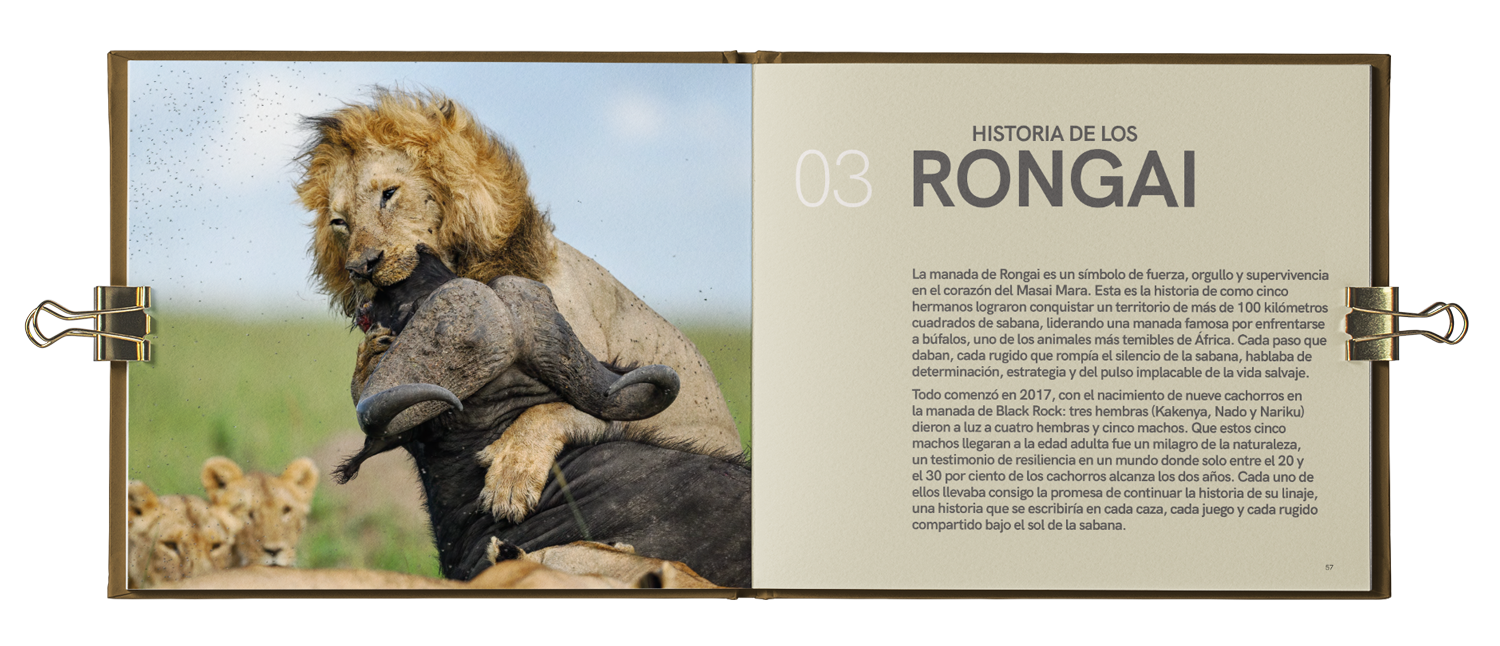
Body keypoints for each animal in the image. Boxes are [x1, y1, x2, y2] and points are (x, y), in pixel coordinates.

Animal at [296, 89, 742, 522]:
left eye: (389, 195)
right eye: (340, 222)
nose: (360, 268)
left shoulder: (608, 389)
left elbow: (548, 412)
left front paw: (510, 480)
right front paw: (372, 353)